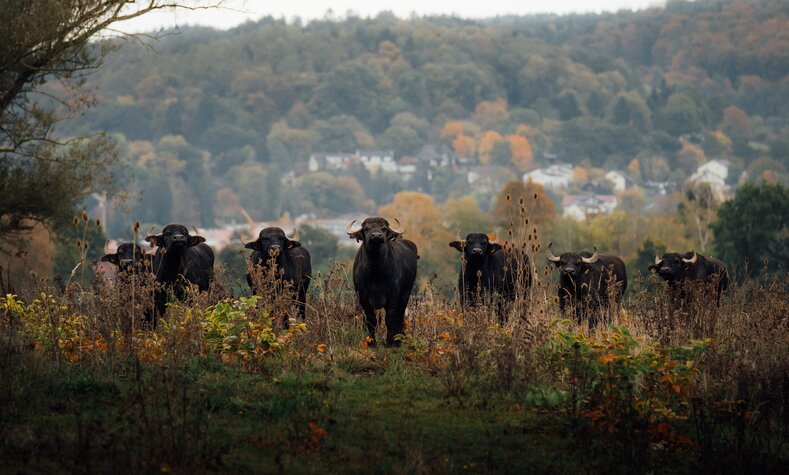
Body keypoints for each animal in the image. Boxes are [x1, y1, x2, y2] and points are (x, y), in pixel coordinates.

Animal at [346, 218, 418, 348]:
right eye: (366, 228)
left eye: (384, 228)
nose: (376, 236)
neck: (376, 271)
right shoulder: (363, 297)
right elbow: (371, 320)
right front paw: (371, 342)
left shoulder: (393, 296)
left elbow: (390, 319)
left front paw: (389, 342)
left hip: (406, 294)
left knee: (399, 317)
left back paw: (398, 340)